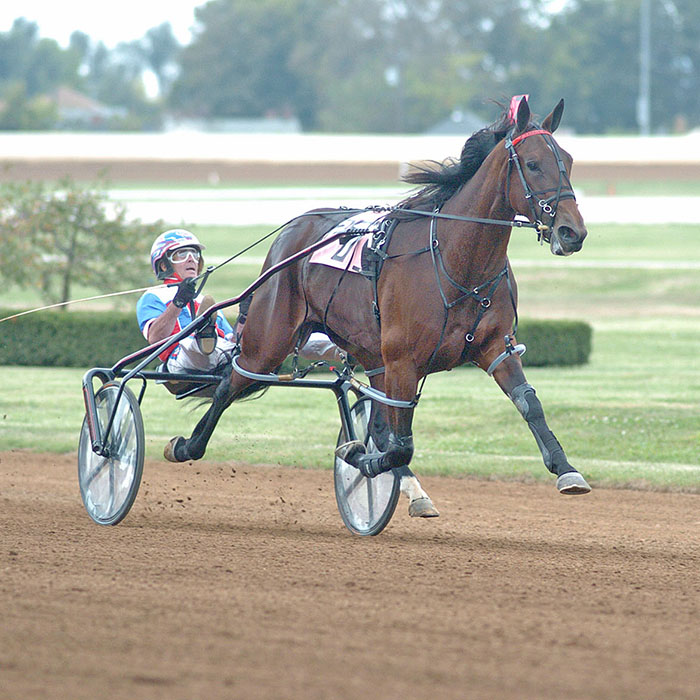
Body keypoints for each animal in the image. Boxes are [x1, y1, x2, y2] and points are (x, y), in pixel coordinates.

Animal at [163, 97, 592, 516]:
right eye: (533, 164)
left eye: (569, 161)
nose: (572, 232)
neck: (456, 260)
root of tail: (291, 232)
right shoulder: (403, 360)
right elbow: (400, 443)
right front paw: (363, 460)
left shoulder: (494, 349)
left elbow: (529, 404)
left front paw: (566, 470)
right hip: (269, 341)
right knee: (228, 384)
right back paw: (185, 445)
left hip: (368, 353)